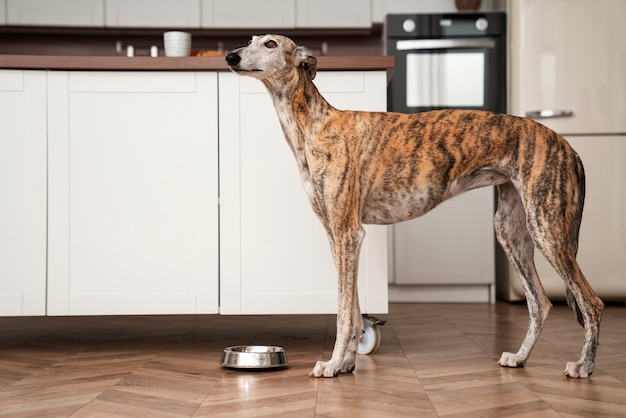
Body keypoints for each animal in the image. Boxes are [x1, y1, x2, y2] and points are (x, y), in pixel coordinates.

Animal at [224, 34, 600, 378]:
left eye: (270, 44)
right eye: (250, 40)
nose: (230, 56)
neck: (315, 124)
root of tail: (569, 146)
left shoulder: (348, 233)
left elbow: (343, 311)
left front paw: (332, 364)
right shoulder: (336, 236)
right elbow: (354, 307)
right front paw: (346, 363)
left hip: (547, 229)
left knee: (591, 303)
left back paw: (584, 366)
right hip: (512, 232)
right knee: (540, 303)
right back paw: (519, 357)